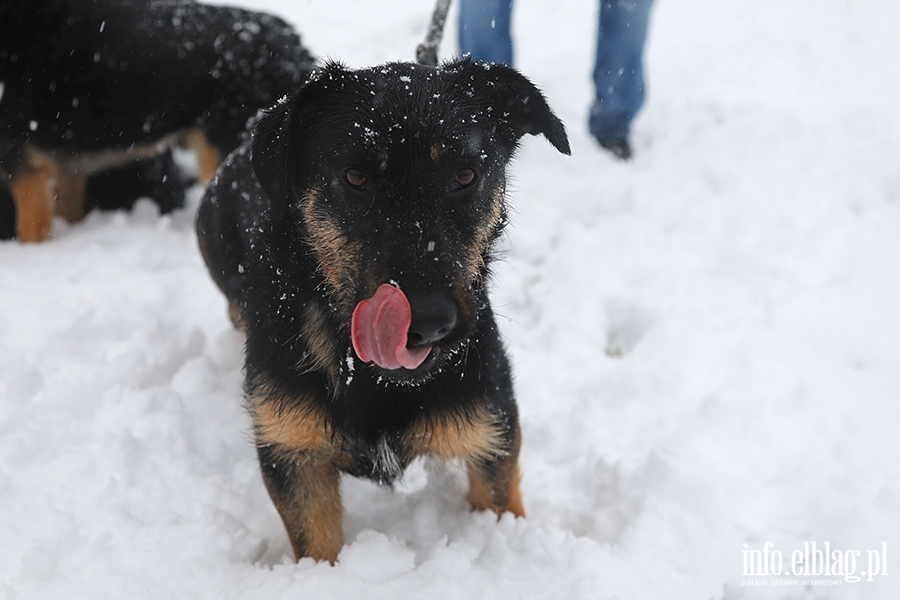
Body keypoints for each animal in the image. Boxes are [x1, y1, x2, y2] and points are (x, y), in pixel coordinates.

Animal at [199, 58, 568, 560]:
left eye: (466, 175)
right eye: (356, 177)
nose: (430, 323)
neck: (370, 374)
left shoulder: (492, 428)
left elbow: (500, 505)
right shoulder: (291, 449)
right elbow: (318, 543)